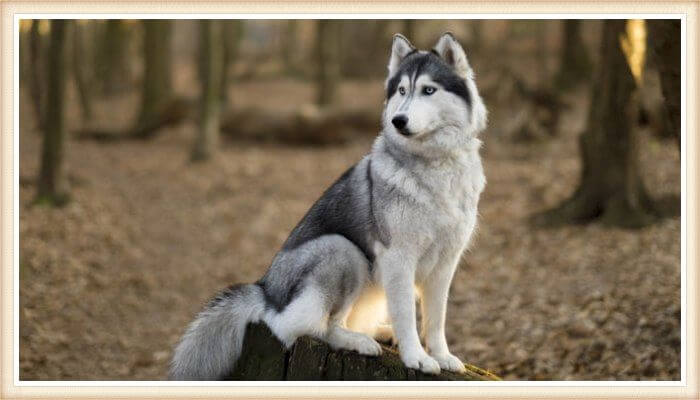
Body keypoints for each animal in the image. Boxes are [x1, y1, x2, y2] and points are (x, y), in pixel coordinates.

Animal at [170, 32, 486, 380]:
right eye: (402, 91)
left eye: (429, 90)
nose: (398, 120)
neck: (434, 165)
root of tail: (266, 291)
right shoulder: (399, 257)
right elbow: (406, 315)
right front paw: (415, 356)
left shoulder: (446, 262)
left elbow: (436, 318)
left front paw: (442, 356)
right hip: (342, 250)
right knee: (313, 327)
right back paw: (357, 341)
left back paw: (377, 332)